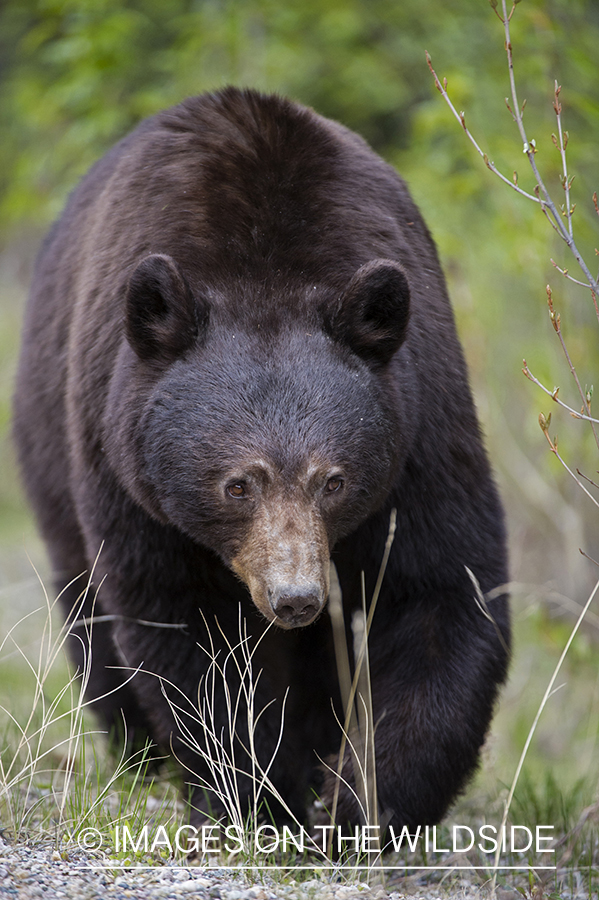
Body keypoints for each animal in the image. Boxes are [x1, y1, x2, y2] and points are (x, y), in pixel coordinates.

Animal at [13, 87, 509, 834]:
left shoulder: (418, 428)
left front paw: (356, 802)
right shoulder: (130, 474)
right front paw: (251, 796)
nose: (296, 597)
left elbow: (440, 590)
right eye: (237, 485)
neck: (264, 267)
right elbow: (188, 631)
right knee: (88, 608)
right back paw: (141, 758)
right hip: (51, 449)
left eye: (333, 481)